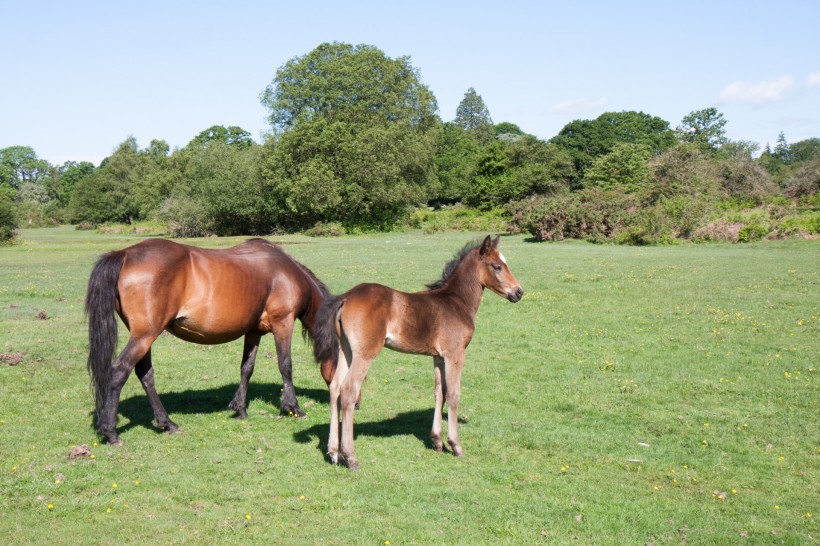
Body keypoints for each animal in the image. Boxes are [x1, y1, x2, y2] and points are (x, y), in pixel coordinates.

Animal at [84, 237, 336, 442]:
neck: (285, 273)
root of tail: (125, 254)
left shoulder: (253, 332)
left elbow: (247, 368)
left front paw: (240, 409)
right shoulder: (283, 324)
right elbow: (285, 366)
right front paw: (293, 408)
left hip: (144, 337)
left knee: (145, 374)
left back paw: (167, 423)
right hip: (145, 336)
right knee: (119, 370)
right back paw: (111, 432)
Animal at [314, 234, 524, 468]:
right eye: (497, 266)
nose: (518, 292)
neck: (456, 302)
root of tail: (345, 297)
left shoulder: (438, 357)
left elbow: (439, 392)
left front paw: (437, 442)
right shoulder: (455, 355)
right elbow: (453, 394)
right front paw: (456, 445)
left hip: (346, 350)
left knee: (335, 388)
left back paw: (333, 452)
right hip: (365, 354)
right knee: (349, 390)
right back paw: (350, 457)